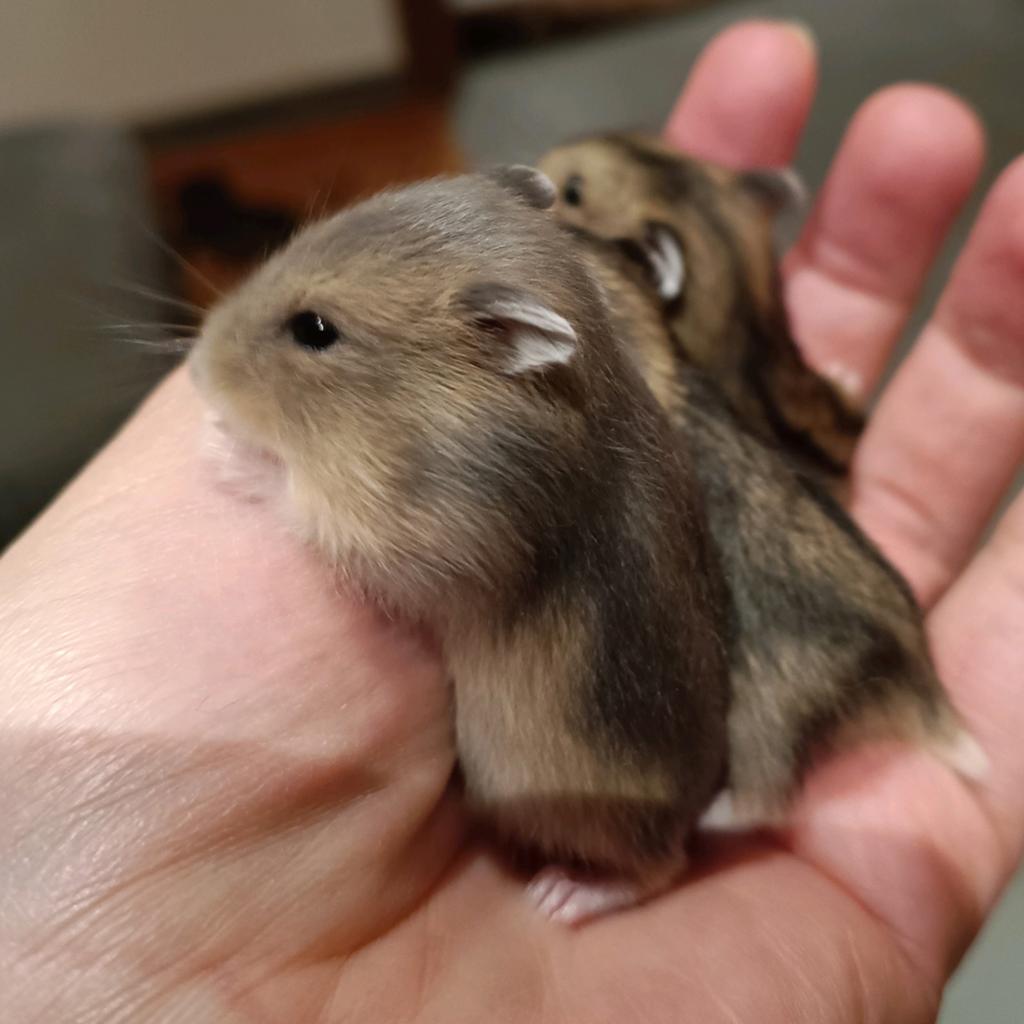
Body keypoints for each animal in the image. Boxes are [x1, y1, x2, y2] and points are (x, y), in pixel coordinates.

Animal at [189, 166, 731, 924]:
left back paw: (564, 897)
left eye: (316, 330)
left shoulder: (426, 534)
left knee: (661, 868)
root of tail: (697, 810)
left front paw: (218, 451)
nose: (195, 367)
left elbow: (303, 500)